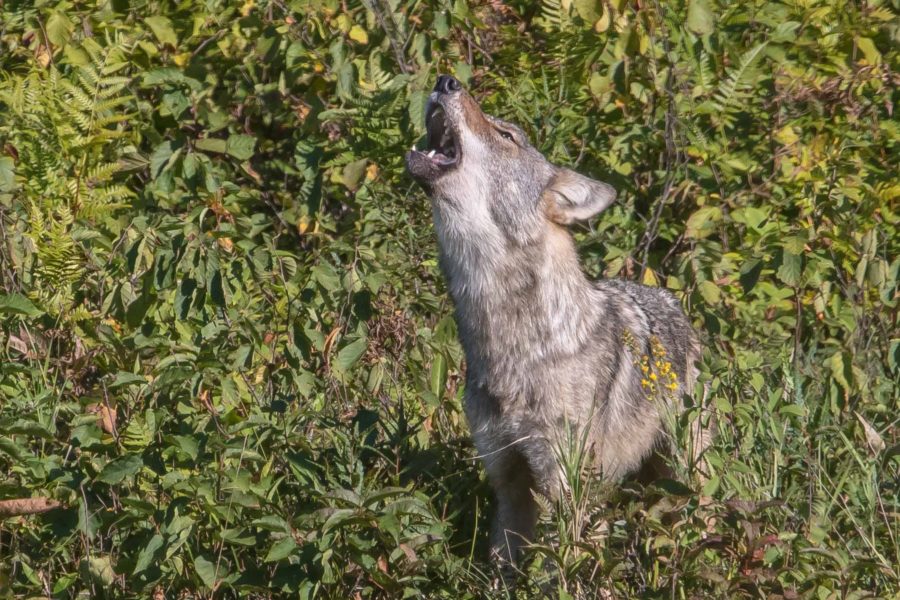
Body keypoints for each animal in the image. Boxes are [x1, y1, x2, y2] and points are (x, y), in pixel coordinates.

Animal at [404, 76, 708, 568]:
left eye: (506, 135)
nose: (446, 81)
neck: (514, 346)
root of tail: (669, 297)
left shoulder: (567, 487)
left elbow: (566, 568)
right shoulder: (508, 481)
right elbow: (504, 564)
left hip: (687, 471)